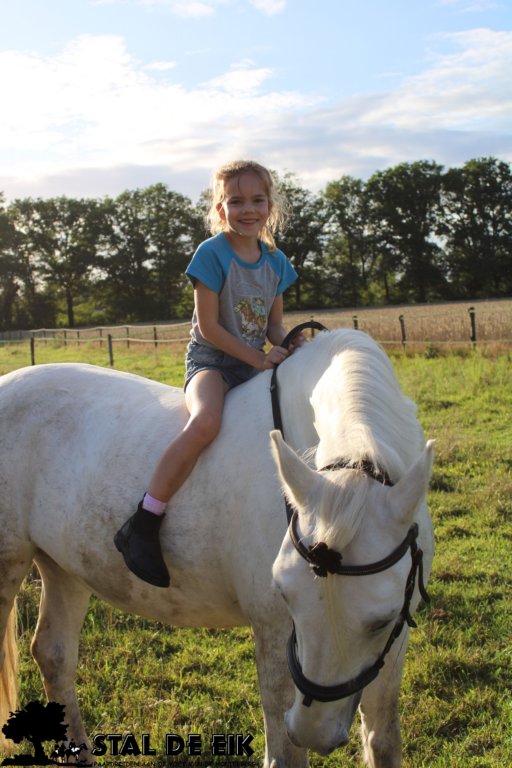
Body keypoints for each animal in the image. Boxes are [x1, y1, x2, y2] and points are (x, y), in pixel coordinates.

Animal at [0, 328, 434, 768]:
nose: (314, 731)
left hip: (62, 567)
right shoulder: (275, 628)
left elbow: (383, 738)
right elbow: (284, 752)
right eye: (287, 599)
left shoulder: (394, 637)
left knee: (53, 654)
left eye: (380, 621)